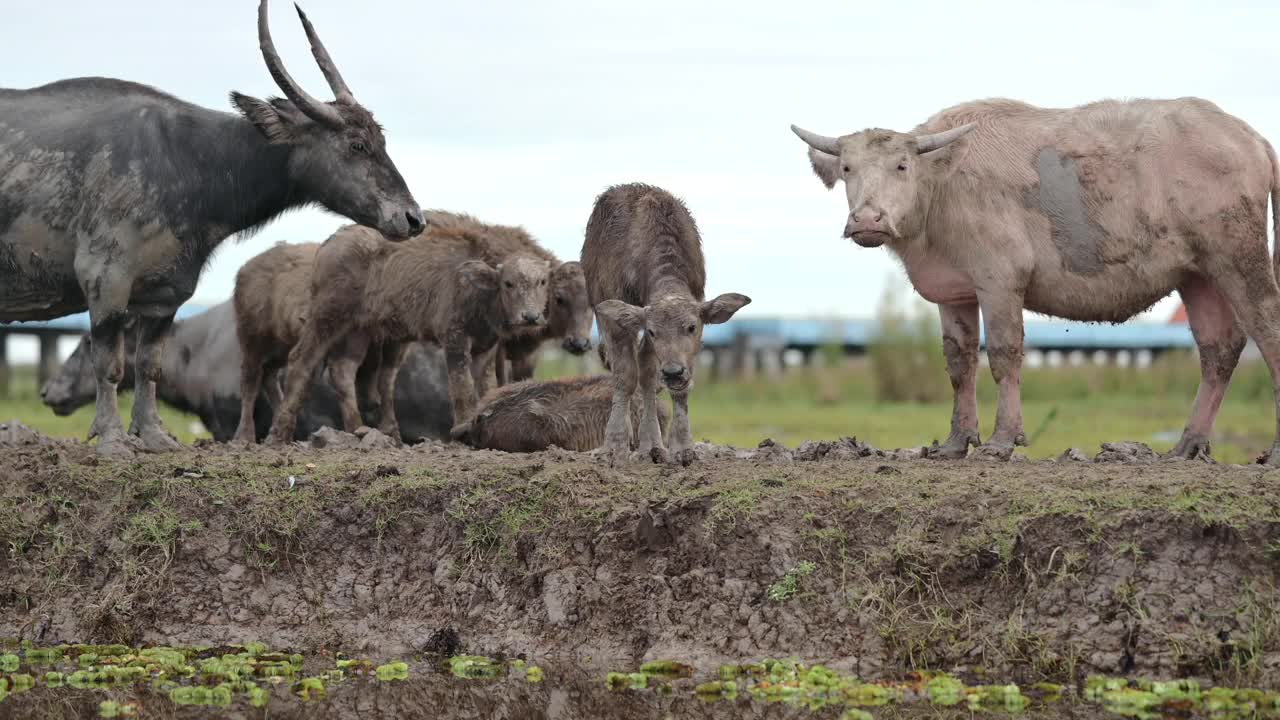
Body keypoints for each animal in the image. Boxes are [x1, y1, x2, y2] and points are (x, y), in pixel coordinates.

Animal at [0, 0, 424, 453]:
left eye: (381, 140)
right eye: (356, 144)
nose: (413, 218)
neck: (189, 162)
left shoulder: (165, 294)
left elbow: (147, 365)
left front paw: (154, 436)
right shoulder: (105, 280)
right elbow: (110, 365)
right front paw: (112, 438)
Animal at [267, 222, 552, 443]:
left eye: (542, 281)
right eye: (508, 283)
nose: (530, 316)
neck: (479, 290)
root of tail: (330, 242)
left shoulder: (487, 345)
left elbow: (486, 386)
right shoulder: (454, 338)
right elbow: (462, 387)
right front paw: (462, 430)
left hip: (359, 329)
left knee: (346, 370)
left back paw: (364, 430)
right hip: (327, 316)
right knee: (301, 361)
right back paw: (279, 434)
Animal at [583, 181, 747, 466]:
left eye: (691, 327)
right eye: (653, 330)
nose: (672, 372)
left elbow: (668, 383)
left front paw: (681, 447)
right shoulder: (619, 321)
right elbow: (625, 376)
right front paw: (615, 445)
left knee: (648, 373)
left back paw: (652, 444)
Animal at [788, 98, 1280, 461]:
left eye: (901, 167)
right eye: (848, 169)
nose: (867, 219)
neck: (943, 187)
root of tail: (1250, 138)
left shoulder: (1000, 282)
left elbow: (1004, 356)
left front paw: (1003, 440)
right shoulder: (954, 293)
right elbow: (959, 363)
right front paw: (956, 442)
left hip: (1240, 260)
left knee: (1267, 331)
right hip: (1198, 277)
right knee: (1218, 352)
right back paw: (1187, 445)